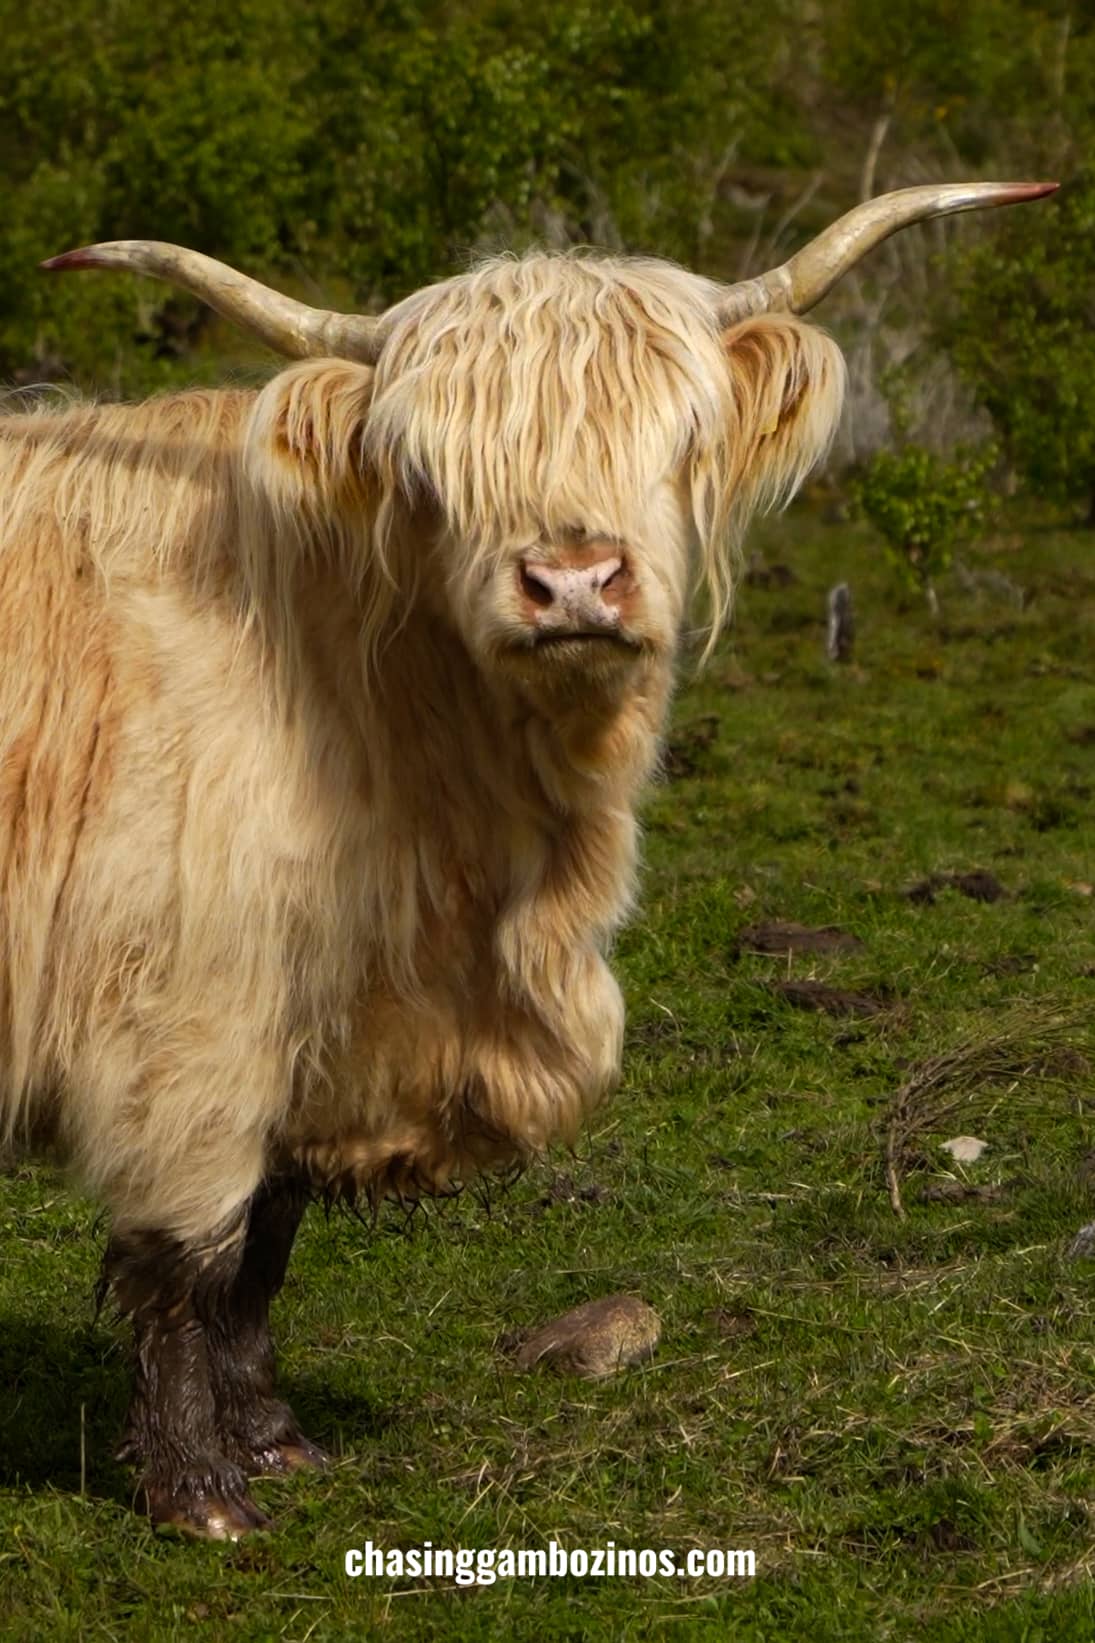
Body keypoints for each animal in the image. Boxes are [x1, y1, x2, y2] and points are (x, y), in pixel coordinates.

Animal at [0, 181, 1054, 1537]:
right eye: (429, 467)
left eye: (681, 432)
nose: (572, 583)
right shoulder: (185, 1017)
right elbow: (189, 1253)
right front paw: (201, 1492)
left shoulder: (324, 1011)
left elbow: (269, 1233)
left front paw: (277, 1439)